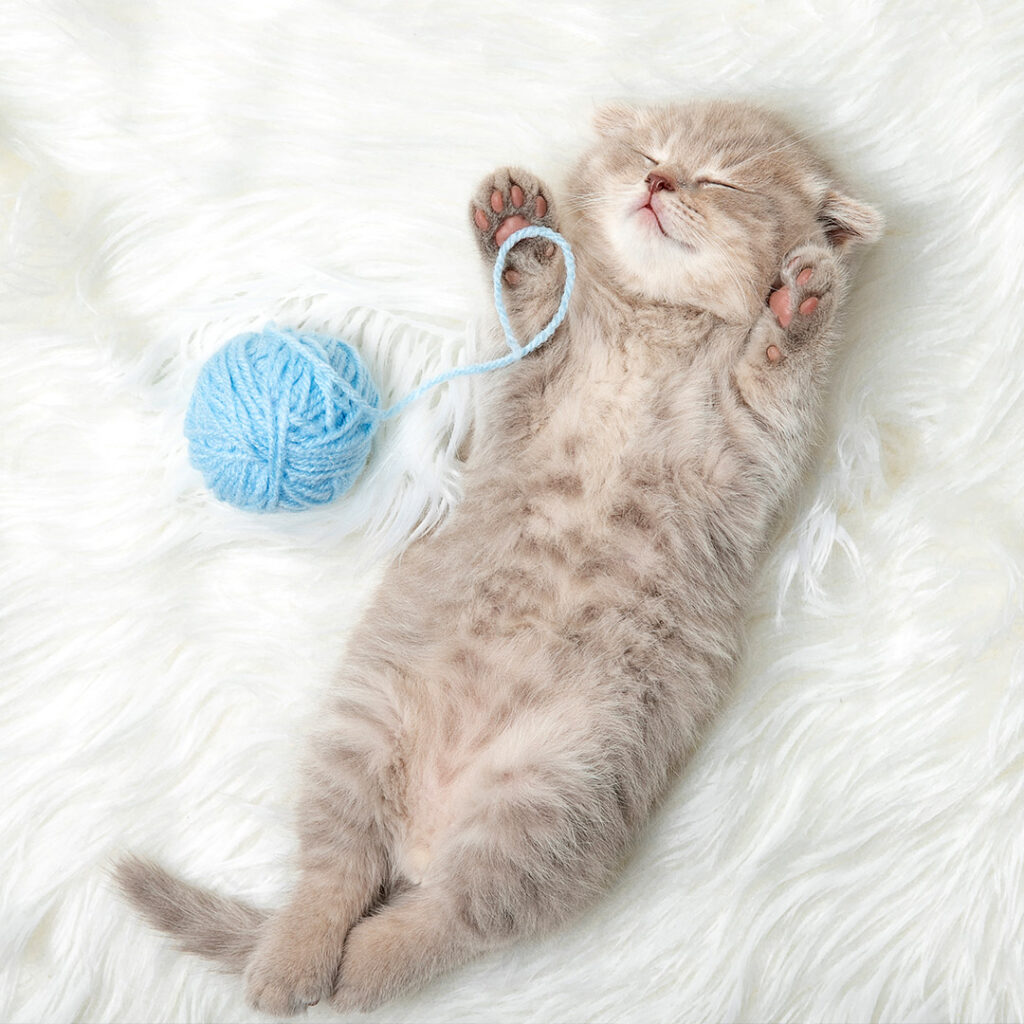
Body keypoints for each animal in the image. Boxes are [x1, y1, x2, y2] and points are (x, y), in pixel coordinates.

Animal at [117, 99, 880, 1011]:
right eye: (649, 153)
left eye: (719, 180)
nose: (661, 183)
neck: (658, 323)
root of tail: (425, 834)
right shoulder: (533, 374)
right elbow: (534, 294)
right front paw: (519, 224)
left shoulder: (751, 446)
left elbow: (774, 377)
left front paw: (798, 302)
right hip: (364, 724)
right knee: (337, 874)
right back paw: (294, 955)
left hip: (552, 796)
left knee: (438, 927)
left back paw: (331, 968)